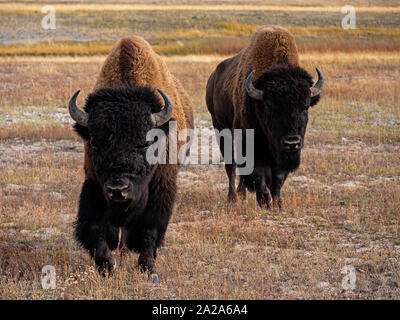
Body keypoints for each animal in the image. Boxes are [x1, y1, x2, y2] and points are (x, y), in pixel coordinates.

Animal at [69, 36, 194, 274]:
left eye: (146, 143)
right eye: (95, 143)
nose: (118, 190)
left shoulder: (161, 185)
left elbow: (150, 228)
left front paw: (147, 266)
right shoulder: (94, 184)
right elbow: (95, 227)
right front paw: (107, 265)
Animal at [205, 26, 324, 209]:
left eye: (305, 106)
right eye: (271, 107)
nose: (292, 142)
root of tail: (213, 77)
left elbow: (278, 177)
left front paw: (277, 203)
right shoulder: (250, 142)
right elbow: (257, 171)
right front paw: (264, 200)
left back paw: (242, 194)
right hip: (221, 127)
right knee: (231, 165)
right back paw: (233, 198)